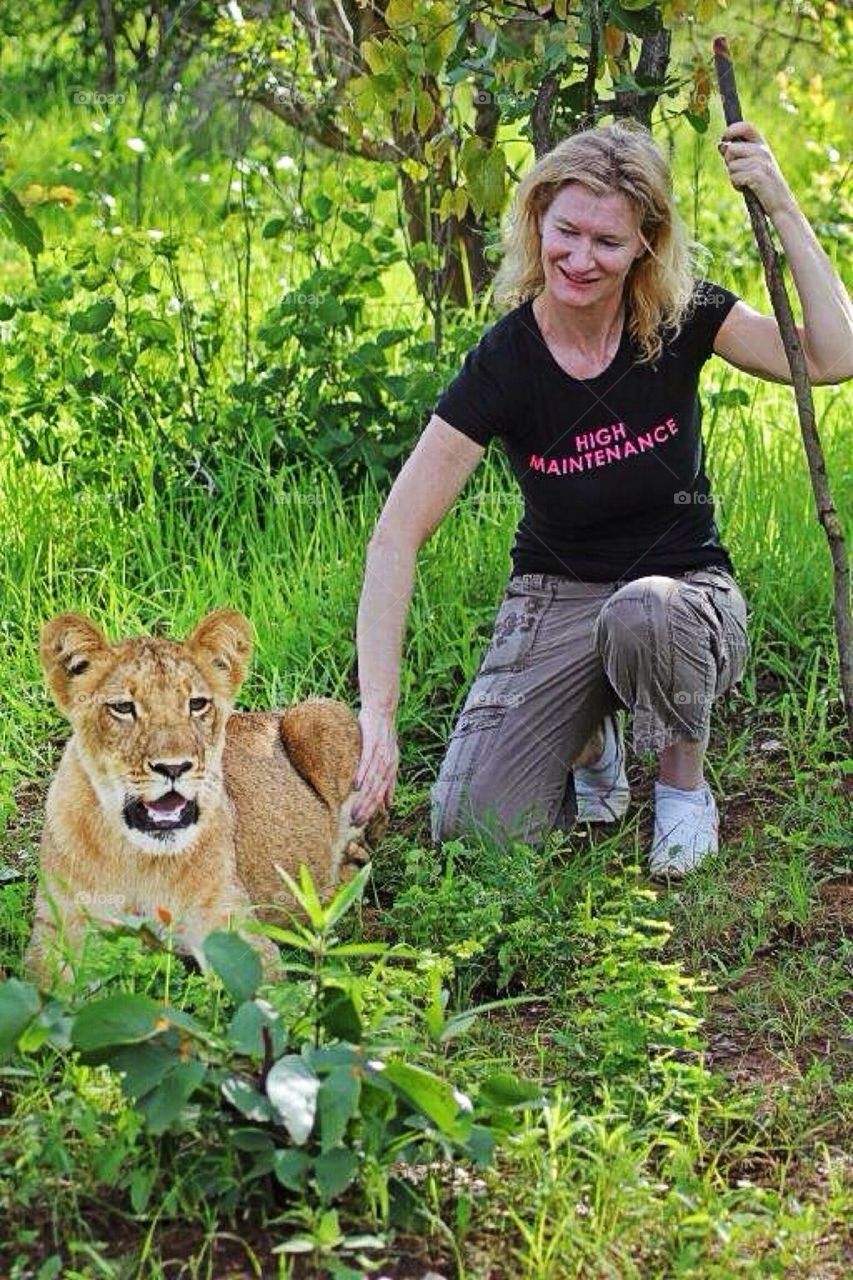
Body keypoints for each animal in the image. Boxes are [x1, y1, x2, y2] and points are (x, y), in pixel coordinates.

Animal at [25, 609, 383, 983]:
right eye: (123, 707)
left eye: (196, 704)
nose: (174, 767)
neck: (137, 855)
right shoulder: (59, 931)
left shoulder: (232, 927)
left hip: (317, 715)